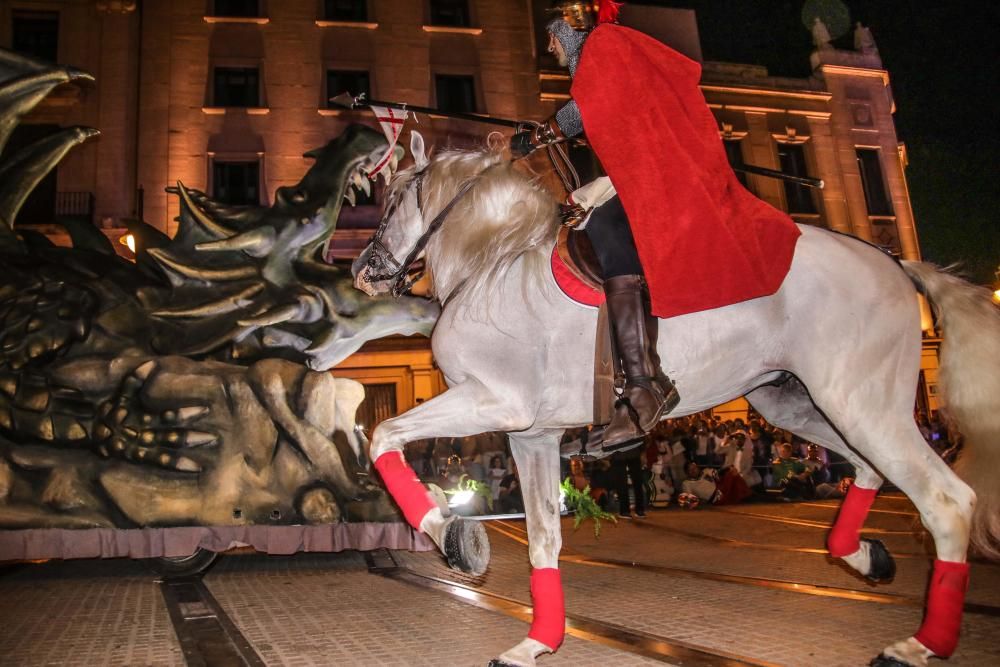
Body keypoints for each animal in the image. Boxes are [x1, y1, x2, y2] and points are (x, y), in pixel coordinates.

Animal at [352, 132, 1000, 667]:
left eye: (391, 200)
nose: (362, 269)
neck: (495, 266)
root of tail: (894, 263)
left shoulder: (494, 401)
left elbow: (383, 437)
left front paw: (453, 537)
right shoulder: (532, 435)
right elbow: (542, 538)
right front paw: (537, 642)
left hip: (861, 403)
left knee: (945, 500)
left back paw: (918, 644)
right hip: (797, 403)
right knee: (869, 470)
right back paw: (865, 557)